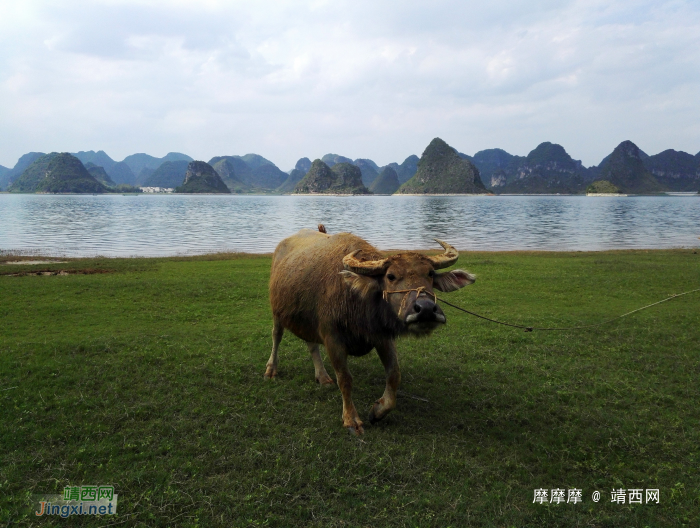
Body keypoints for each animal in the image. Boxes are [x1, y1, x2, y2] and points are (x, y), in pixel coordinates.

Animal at [268, 226, 476, 434]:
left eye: (430, 274)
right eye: (390, 276)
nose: (425, 309)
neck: (358, 298)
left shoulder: (382, 336)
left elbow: (394, 374)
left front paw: (378, 411)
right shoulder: (332, 339)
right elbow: (345, 379)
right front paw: (351, 420)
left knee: (311, 343)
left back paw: (323, 377)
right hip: (277, 312)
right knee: (277, 336)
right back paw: (271, 370)